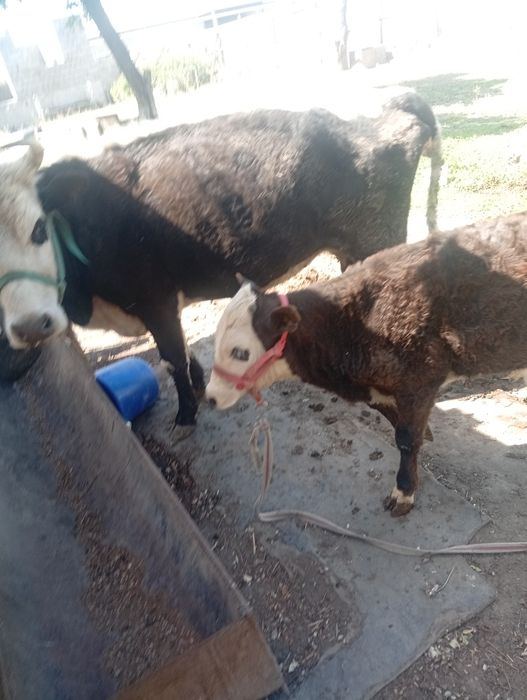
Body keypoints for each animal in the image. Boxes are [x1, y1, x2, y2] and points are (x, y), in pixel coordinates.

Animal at [0, 93, 441, 438]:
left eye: (38, 228)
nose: (31, 326)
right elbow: (180, 352)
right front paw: (197, 388)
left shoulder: (154, 300)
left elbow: (173, 359)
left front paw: (185, 416)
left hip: (377, 241)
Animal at [206, 212, 527, 516]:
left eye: (240, 352)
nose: (209, 397)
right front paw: (425, 438)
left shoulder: (420, 379)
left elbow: (406, 438)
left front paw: (404, 492)